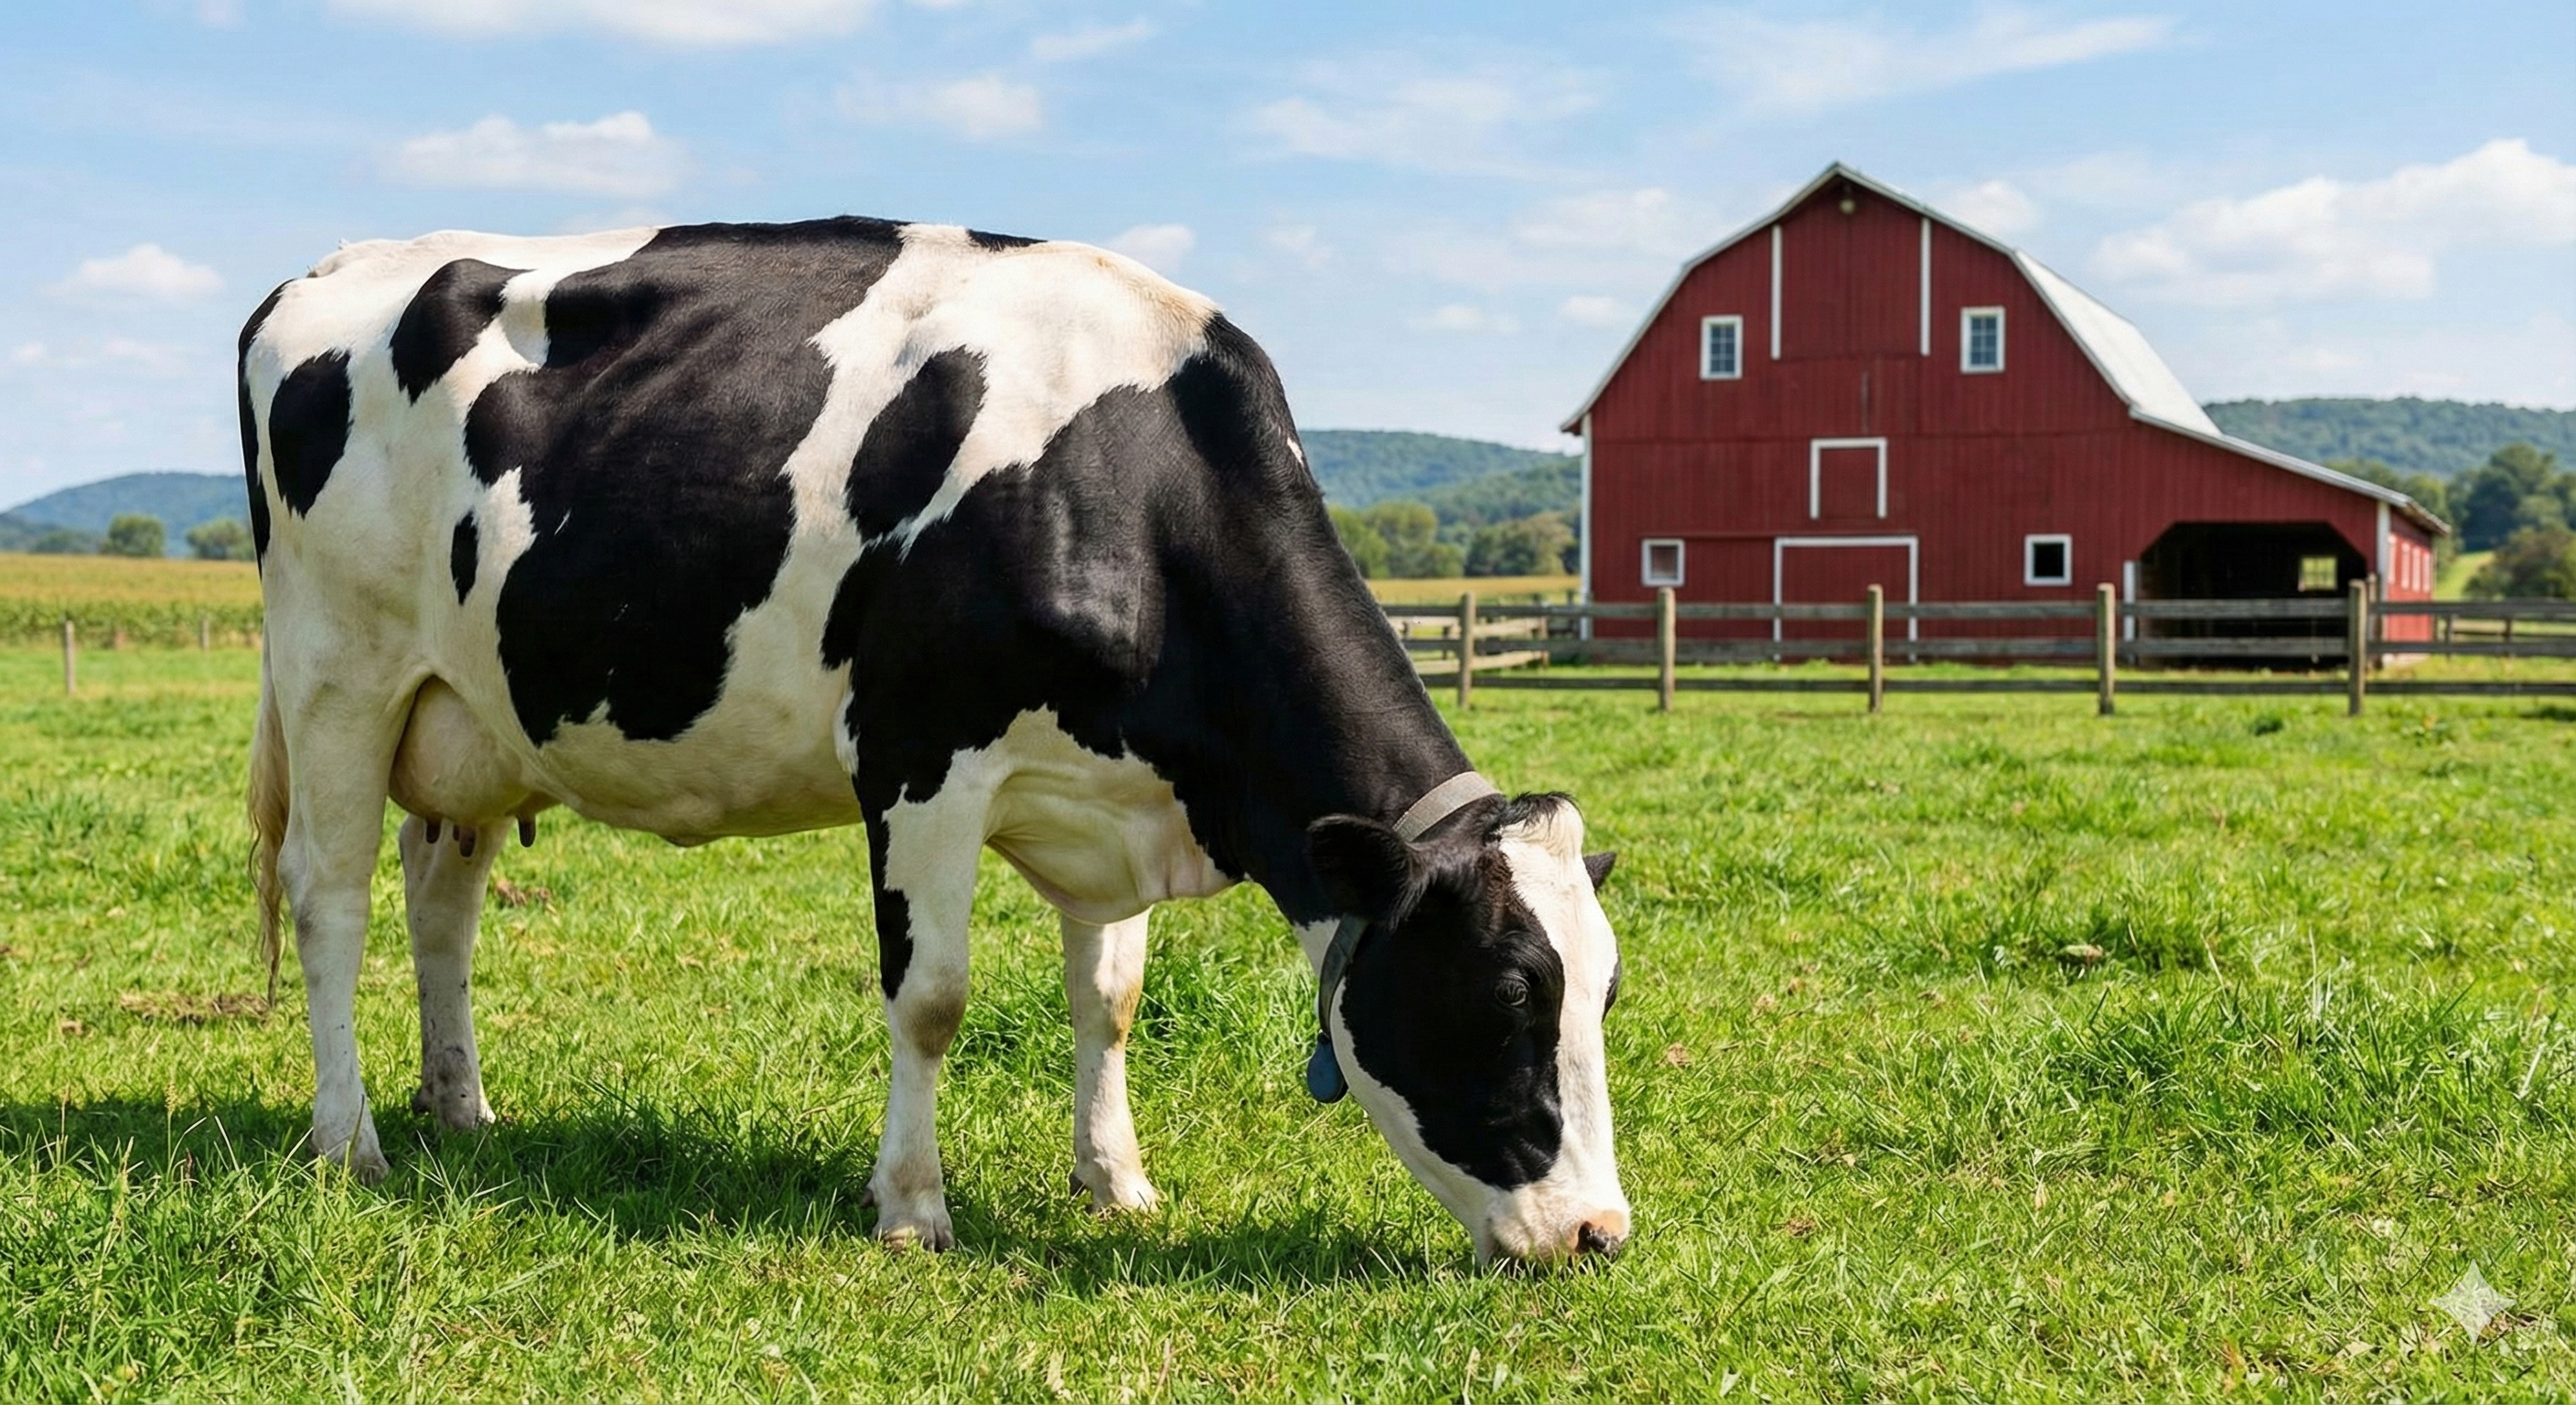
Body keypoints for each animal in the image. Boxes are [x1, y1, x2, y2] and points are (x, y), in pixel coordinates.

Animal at [236, 218, 1631, 1264]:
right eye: (1508, 992)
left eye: (1605, 990)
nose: (1598, 1235)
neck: (1130, 492)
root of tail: (318, 274)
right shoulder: (919, 759)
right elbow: (932, 997)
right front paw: (911, 1206)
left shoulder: (1114, 791)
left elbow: (1110, 998)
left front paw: (1115, 1182)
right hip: (337, 672)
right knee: (330, 900)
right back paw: (349, 1141)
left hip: (466, 711)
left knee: (439, 902)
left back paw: (462, 1108)